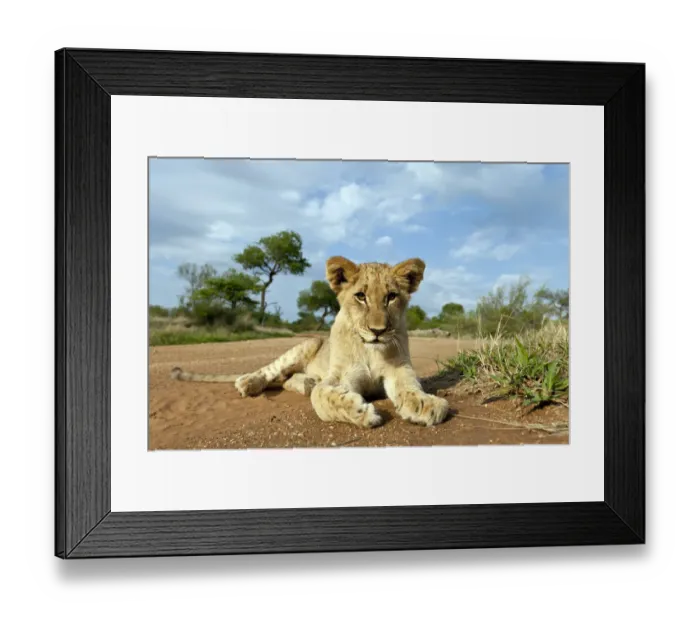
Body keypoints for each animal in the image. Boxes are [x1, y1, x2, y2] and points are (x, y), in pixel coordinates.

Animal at [170, 256, 450, 428]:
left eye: (391, 297)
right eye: (360, 296)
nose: (378, 331)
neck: (370, 349)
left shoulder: (400, 369)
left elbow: (410, 386)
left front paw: (424, 404)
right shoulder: (340, 375)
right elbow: (322, 396)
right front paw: (359, 411)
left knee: (285, 380)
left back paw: (305, 382)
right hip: (304, 347)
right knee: (271, 372)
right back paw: (248, 382)